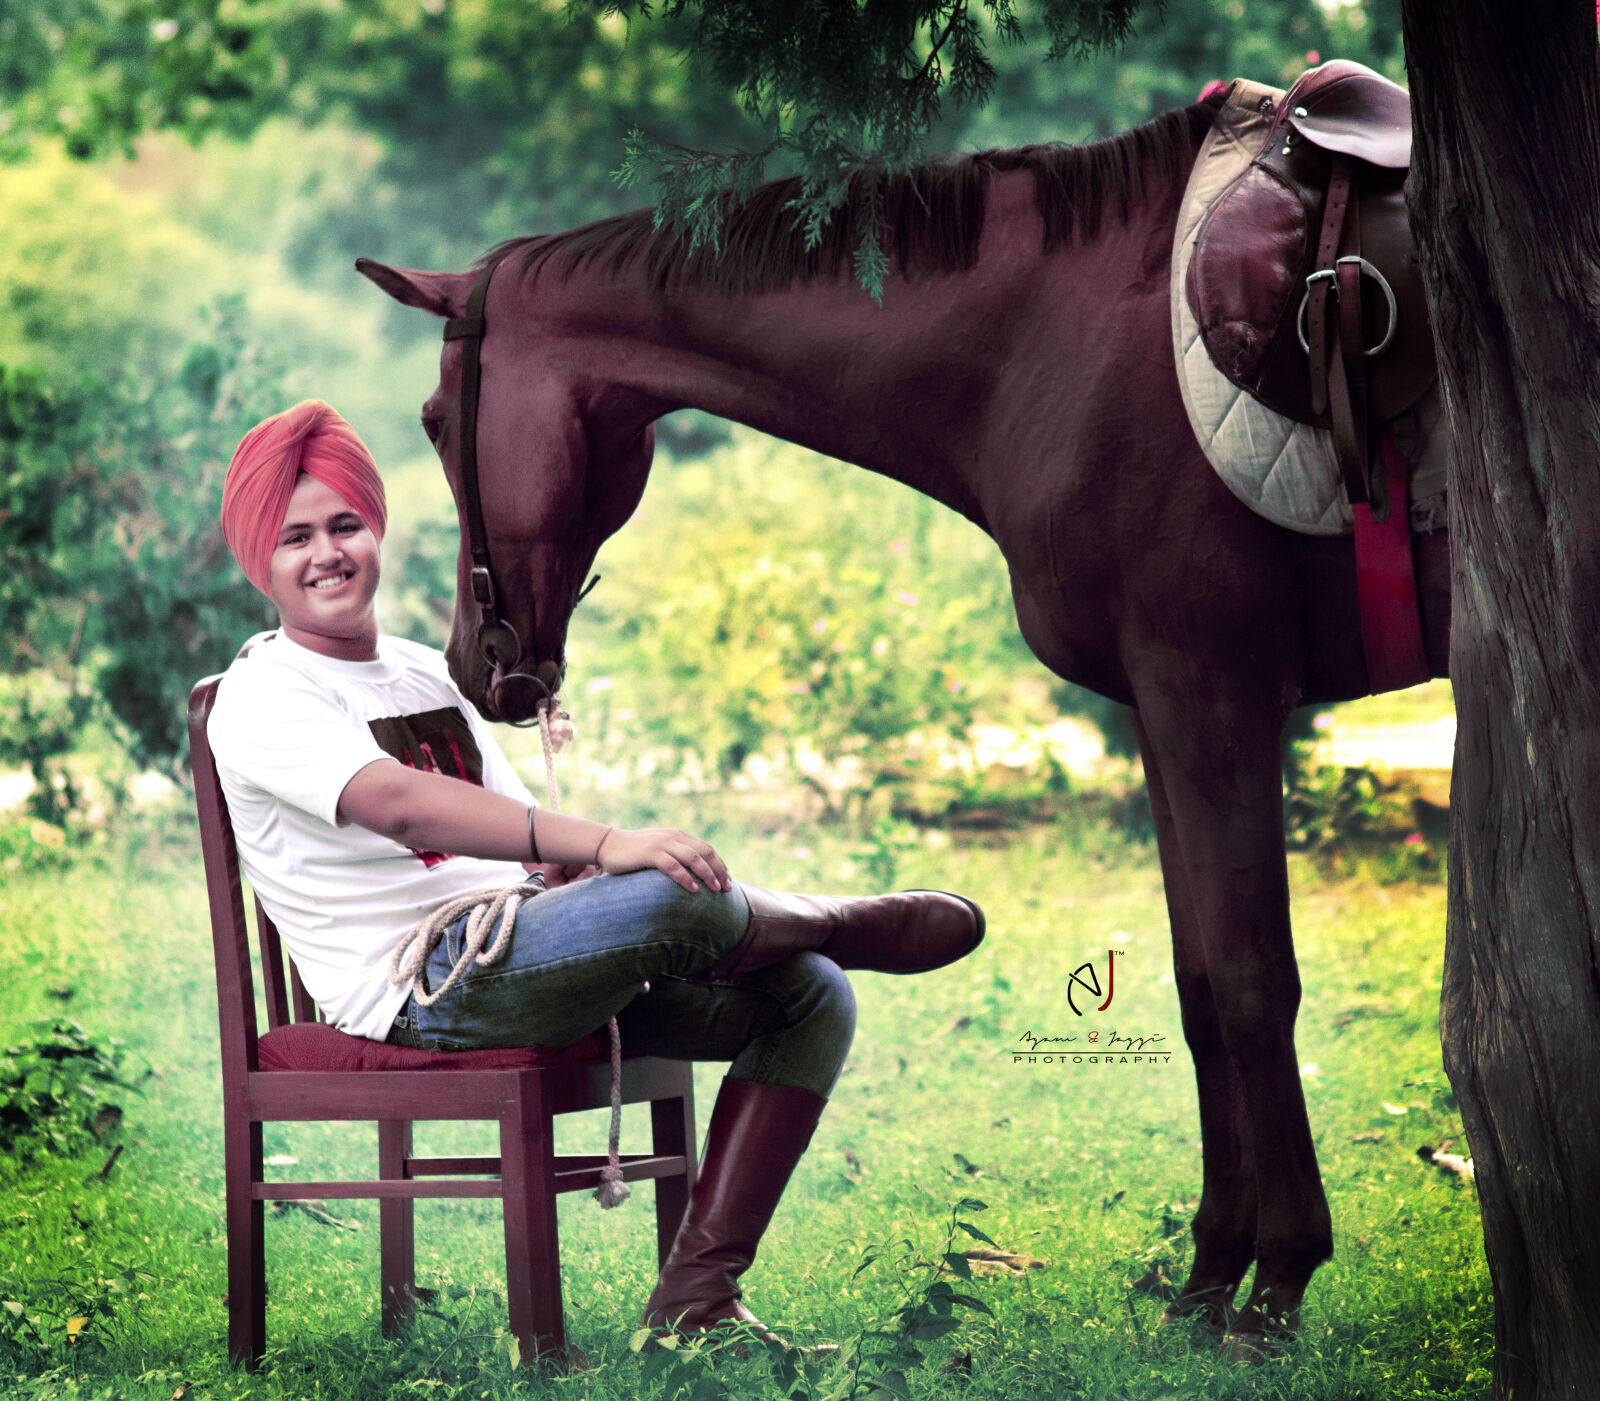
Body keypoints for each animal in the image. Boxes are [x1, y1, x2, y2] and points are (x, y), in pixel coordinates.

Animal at [357, 95, 1454, 1351]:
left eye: (435, 417)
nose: (473, 665)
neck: (1065, 336)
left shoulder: (1211, 691)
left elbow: (1250, 977)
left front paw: (1276, 1284)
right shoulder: (1162, 707)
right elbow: (1195, 986)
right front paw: (1207, 1274)